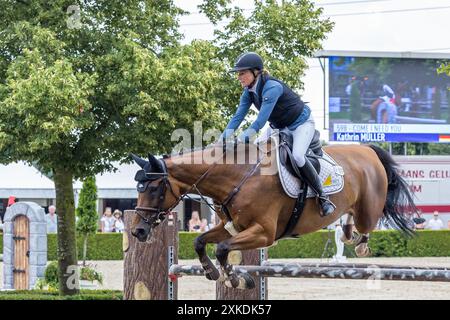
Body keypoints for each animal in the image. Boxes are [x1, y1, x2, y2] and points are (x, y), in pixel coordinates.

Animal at [130, 142, 418, 290]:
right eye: (138, 188)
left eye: (153, 188)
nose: (137, 231)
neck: (236, 177)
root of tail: (368, 150)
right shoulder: (232, 226)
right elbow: (201, 241)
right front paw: (213, 272)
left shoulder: (264, 233)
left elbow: (222, 248)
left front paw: (235, 278)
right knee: (350, 227)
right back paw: (348, 234)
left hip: (368, 209)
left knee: (366, 226)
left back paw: (358, 243)